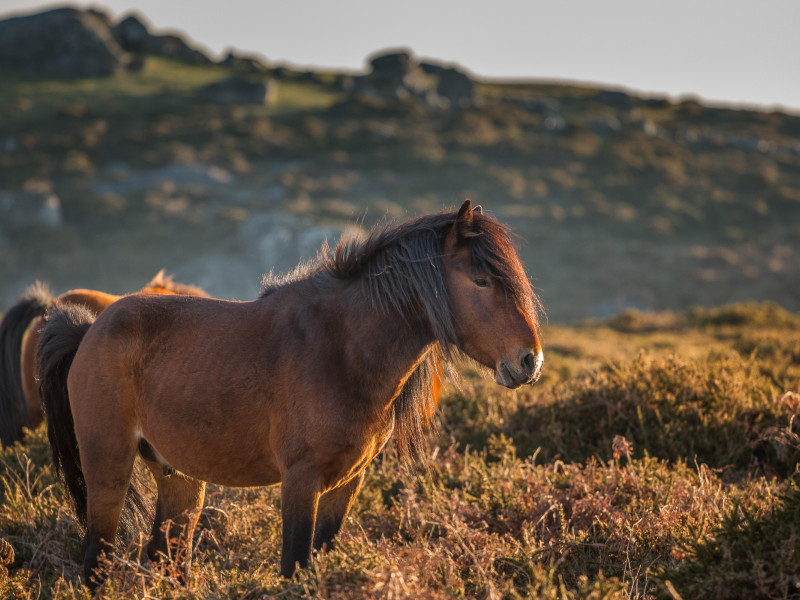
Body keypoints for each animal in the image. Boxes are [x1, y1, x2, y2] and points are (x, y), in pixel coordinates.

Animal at [38, 200, 544, 590]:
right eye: (481, 280)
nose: (529, 361)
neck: (342, 349)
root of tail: (89, 330)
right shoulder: (301, 480)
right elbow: (294, 566)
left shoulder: (347, 482)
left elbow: (321, 556)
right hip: (108, 467)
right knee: (97, 557)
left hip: (178, 477)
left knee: (167, 556)